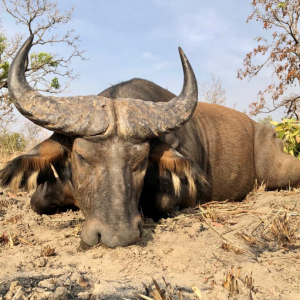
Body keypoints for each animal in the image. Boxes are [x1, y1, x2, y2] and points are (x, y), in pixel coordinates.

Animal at [0, 36, 300, 248]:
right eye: (82, 157)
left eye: (141, 160)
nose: (116, 236)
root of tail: (261, 129)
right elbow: (36, 201)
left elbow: (161, 203)